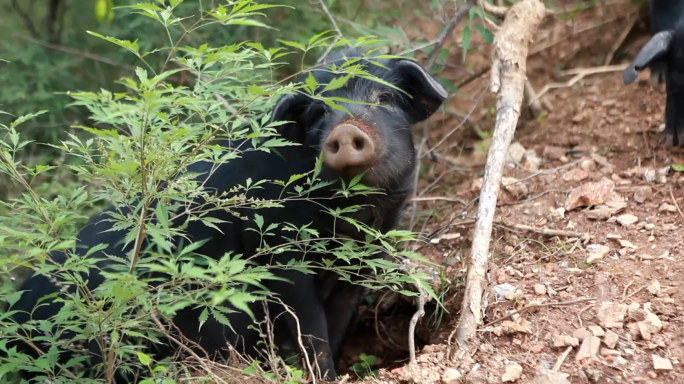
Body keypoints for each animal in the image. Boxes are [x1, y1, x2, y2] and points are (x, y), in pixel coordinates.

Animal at [9, 48, 448, 380]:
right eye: (319, 114)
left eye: (384, 98)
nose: (346, 130)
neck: (349, 217)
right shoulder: (281, 254)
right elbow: (309, 327)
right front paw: (321, 375)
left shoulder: (359, 264)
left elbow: (338, 324)